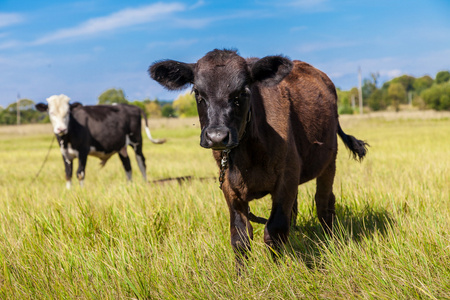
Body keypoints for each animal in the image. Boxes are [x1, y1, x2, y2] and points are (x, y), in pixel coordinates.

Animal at [35, 94, 165, 188]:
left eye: (67, 112)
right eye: (51, 112)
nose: (61, 129)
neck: (67, 138)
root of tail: (132, 106)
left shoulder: (83, 151)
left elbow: (80, 173)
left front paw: (81, 192)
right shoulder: (65, 153)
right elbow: (68, 174)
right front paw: (69, 192)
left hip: (136, 141)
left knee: (141, 162)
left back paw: (144, 183)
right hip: (121, 147)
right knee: (127, 165)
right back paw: (129, 186)